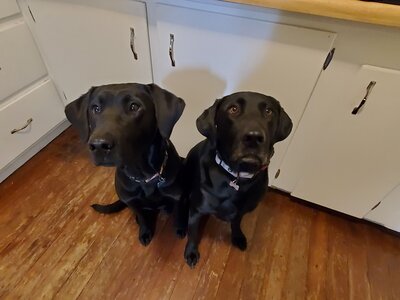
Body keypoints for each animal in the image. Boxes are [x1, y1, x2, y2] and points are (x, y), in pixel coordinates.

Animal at [65, 82, 186, 246]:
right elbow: (142, 217)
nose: (99, 145)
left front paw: (180, 228)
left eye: (134, 106)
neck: (144, 177)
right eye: (95, 108)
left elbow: (179, 214)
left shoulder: (177, 196)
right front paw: (145, 231)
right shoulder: (132, 202)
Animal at [181, 91, 294, 268]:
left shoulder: (241, 209)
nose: (253, 137)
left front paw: (237, 236)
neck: (237, 176)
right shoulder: (197, 209)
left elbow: (236, 222)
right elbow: (193, 233)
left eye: (268, 111)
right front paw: (191, 252)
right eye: (233, 109)